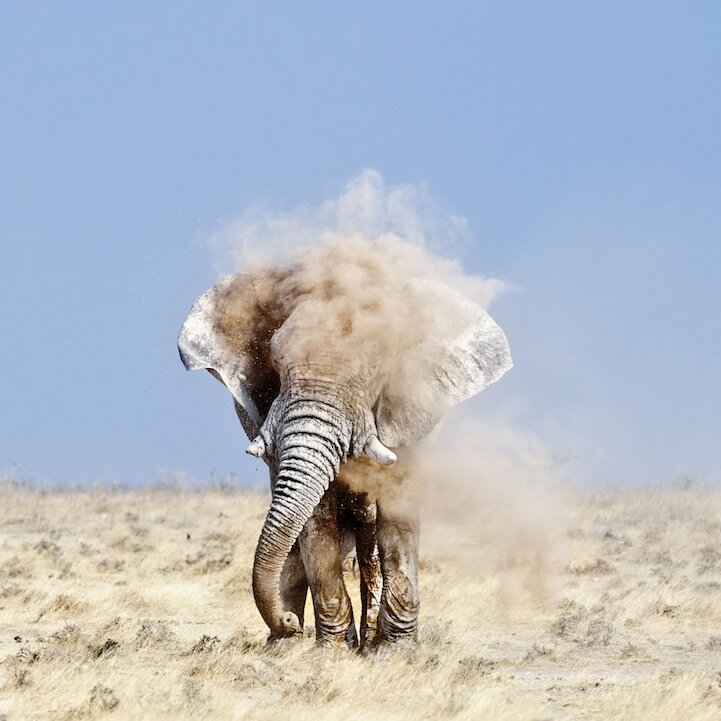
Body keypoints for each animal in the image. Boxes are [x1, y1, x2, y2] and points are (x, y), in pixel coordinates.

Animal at [176, 242, 510, 648]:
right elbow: (315, 518)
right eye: (275, 363)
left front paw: (394, 651)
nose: (286, 621)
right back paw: (284, 646)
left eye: (376, 373)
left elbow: (397, 510)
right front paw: (331, 651)